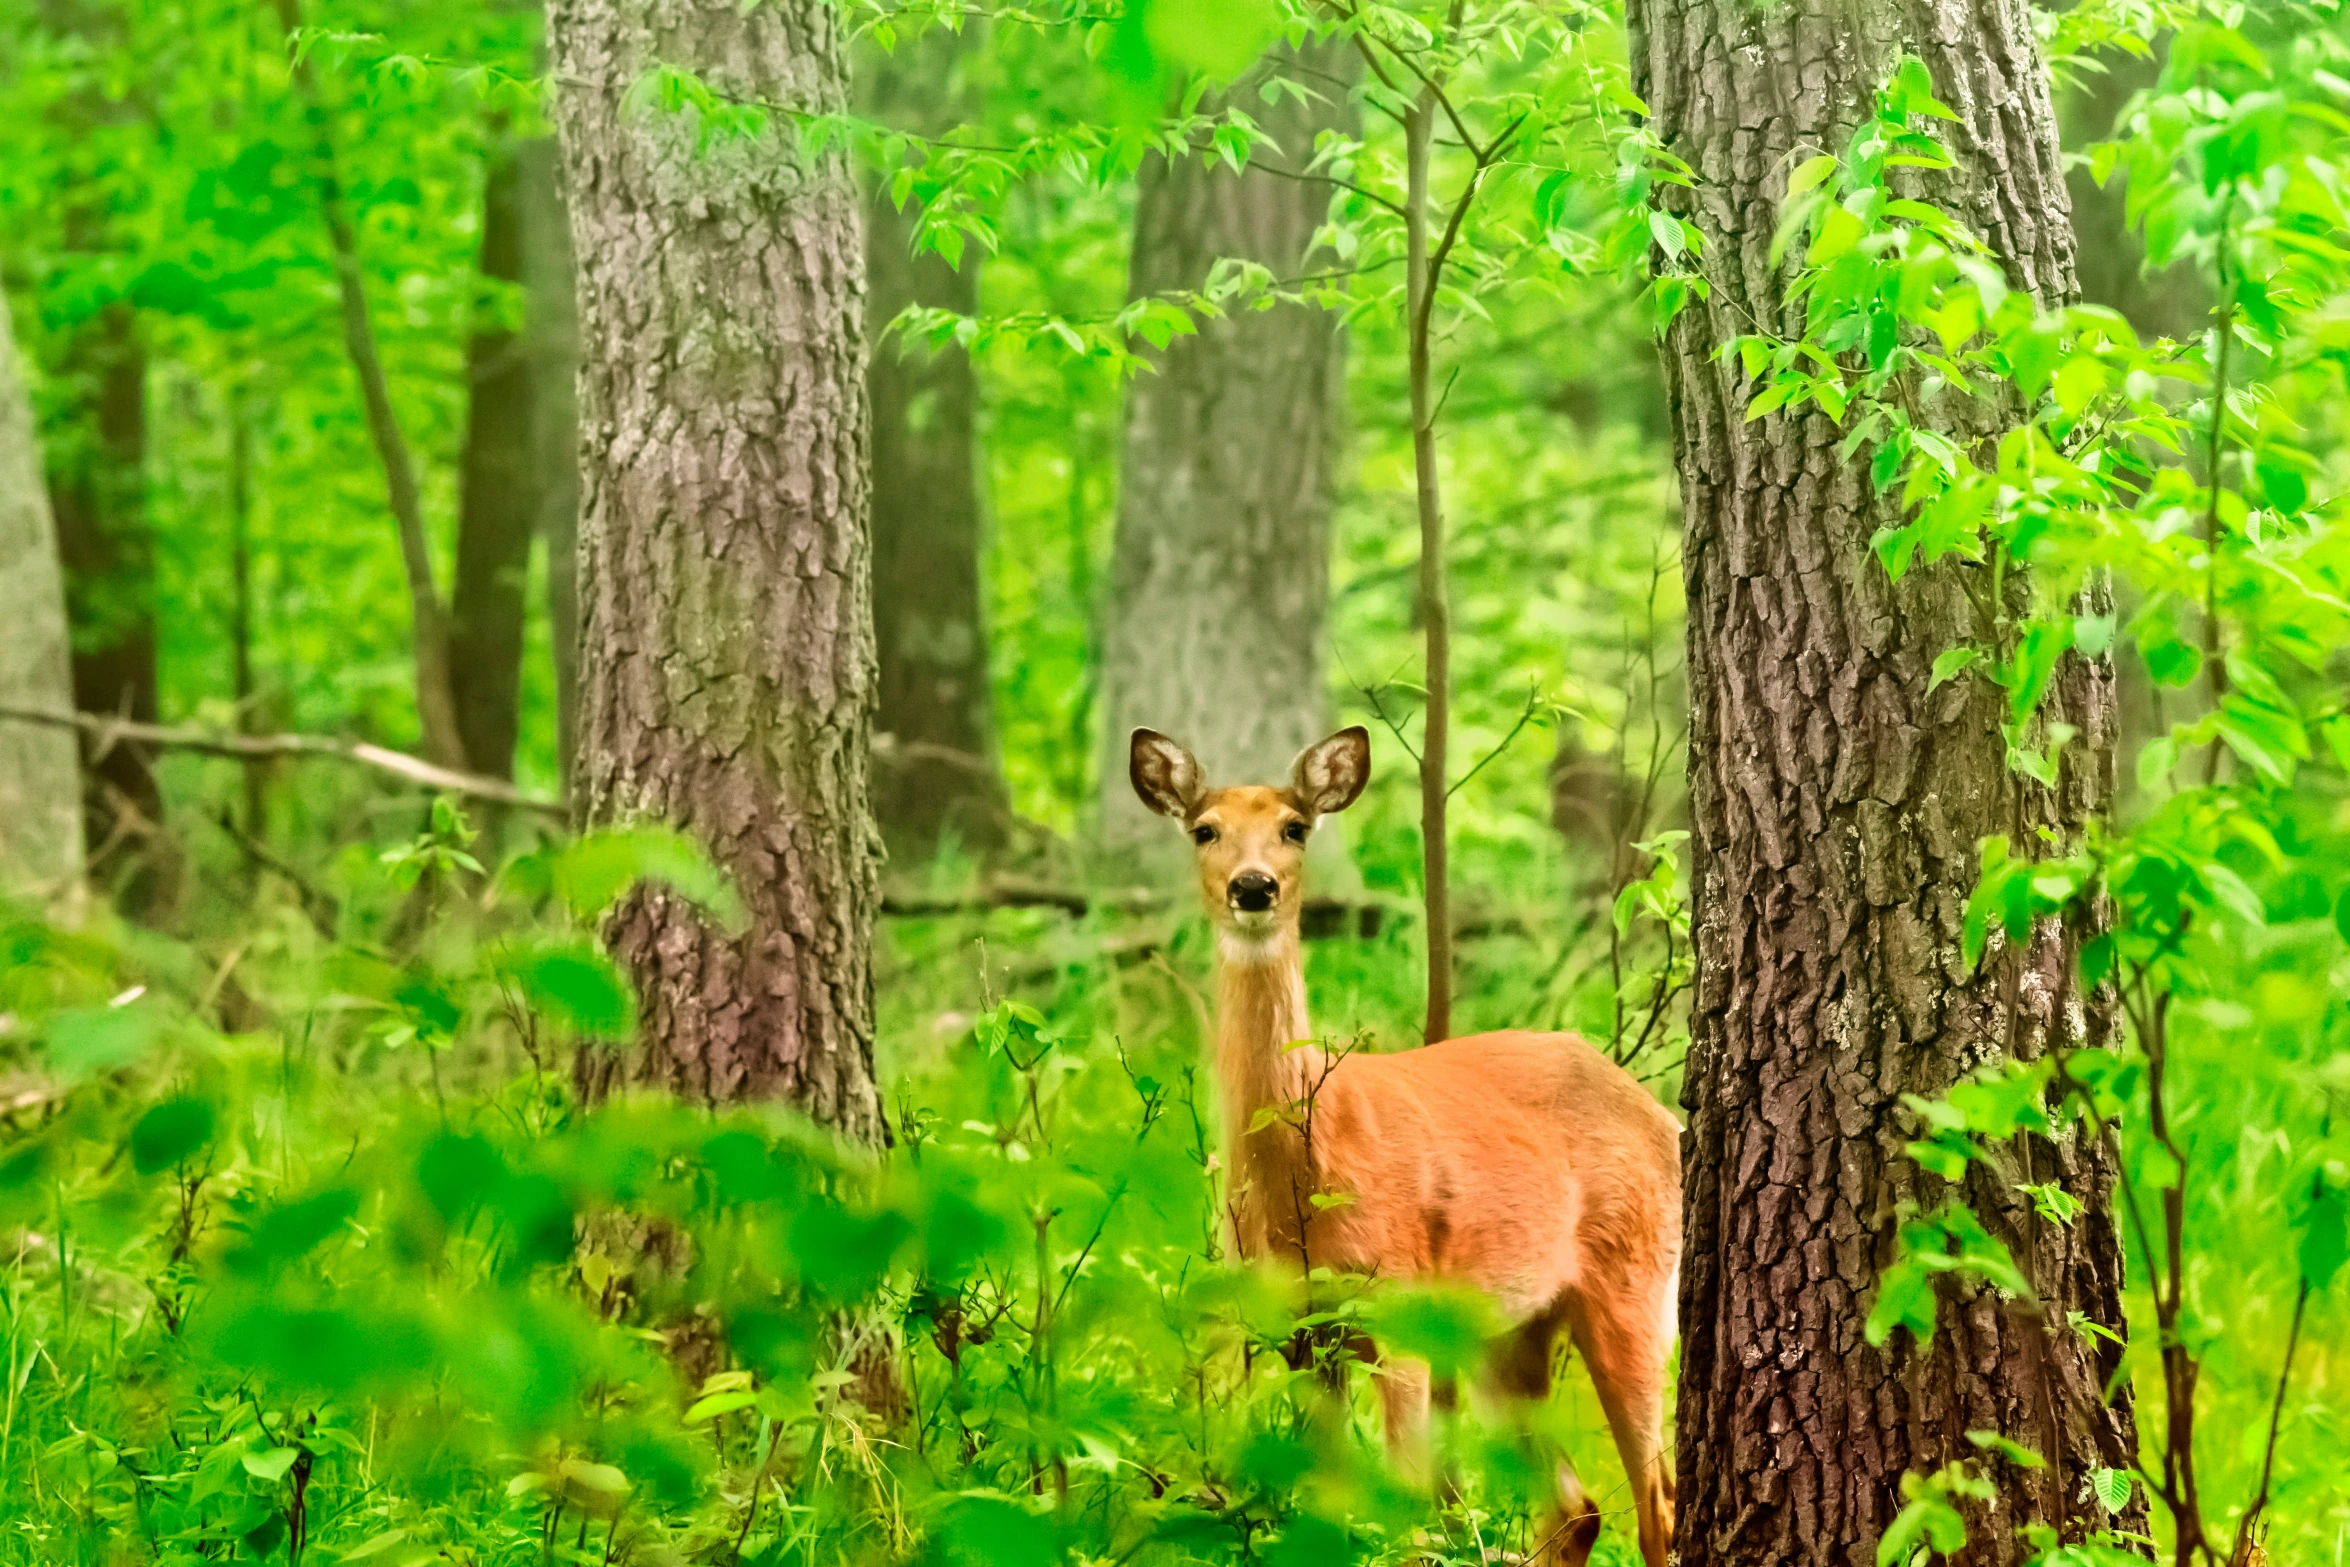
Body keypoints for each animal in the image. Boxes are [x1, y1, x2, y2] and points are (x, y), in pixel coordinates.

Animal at [1128, 723, 1682, 1567]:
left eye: (1296, 826)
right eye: (1204, 828)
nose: (1254, 886)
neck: (1304, 1171)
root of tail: (1663, 1116)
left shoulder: (1400, 1310)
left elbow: (1408, 1517)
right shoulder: (1300, 1333)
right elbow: (1330, 1509)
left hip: (1635, 1282)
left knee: (1657, 1507)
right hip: (1510, 1332)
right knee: (1575, 1505)